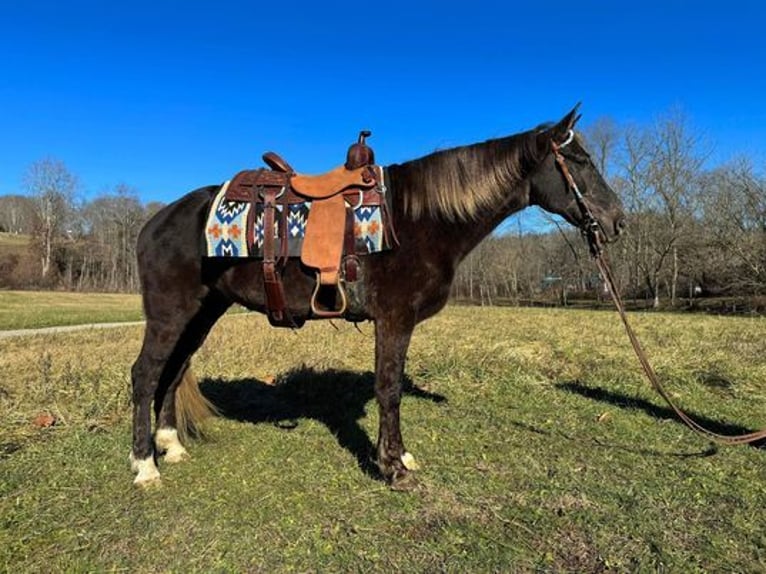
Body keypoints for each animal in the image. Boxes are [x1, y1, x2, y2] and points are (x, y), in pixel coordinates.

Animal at [129, 107, 628, 490]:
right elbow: (388, 388)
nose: (619, 221)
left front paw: (399, 458)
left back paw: (170, 446)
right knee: (146, 374)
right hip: (172, 313)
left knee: (172, 373)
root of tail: (155, 222)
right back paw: (145, 465)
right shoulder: (394, 318)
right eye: (579, 160)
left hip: (202, 313)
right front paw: (393, 467)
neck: (419, 219)